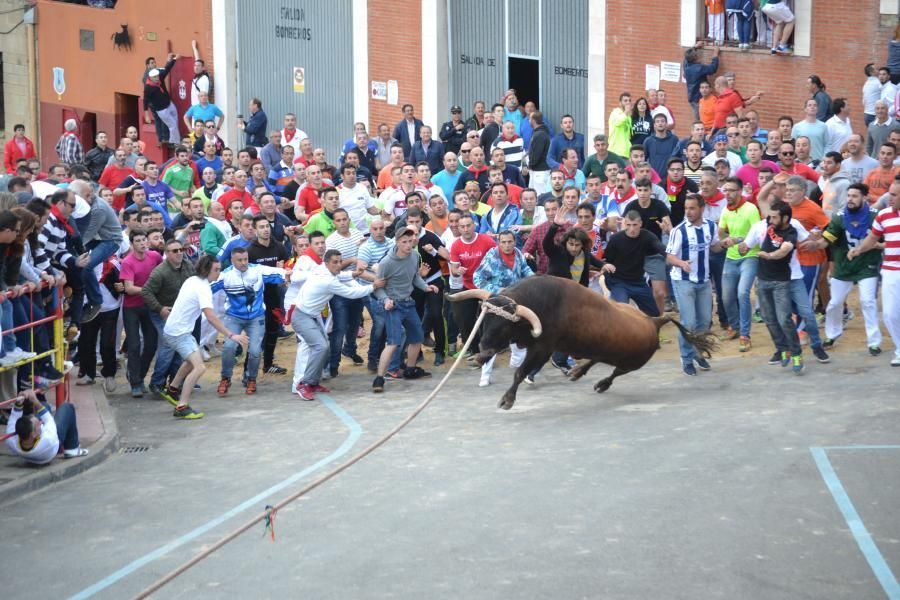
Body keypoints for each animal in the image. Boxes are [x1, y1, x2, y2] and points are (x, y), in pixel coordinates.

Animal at [448, 276, 716, 408]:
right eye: (484, 320)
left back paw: (600, 383)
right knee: (597, 358)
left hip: (632, 363)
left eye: (504, 325)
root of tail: (654, 321)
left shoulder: (542, 349)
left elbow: (520, 372)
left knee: (615, 373)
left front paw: (507, 400)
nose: (482, 351)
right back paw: (577, 372)